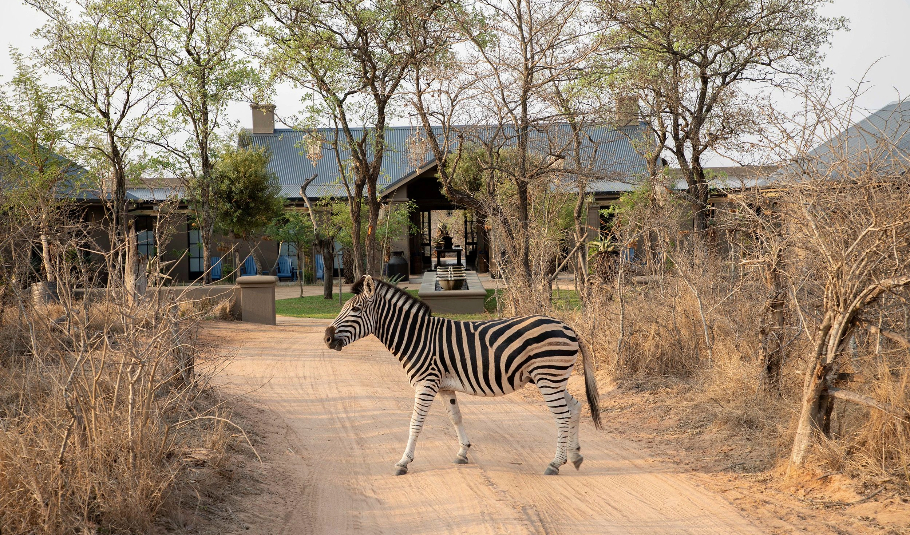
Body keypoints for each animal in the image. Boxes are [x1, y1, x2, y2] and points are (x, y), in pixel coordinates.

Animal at [324, 276, 604, 478]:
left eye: (356, 309)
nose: (326, 338)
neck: (417, 337)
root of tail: (569, 327)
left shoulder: (426, 383)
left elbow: (415, 423)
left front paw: (403, 462)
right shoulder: (444, 386)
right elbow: (455, 417)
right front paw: (463, 452)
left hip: (548, 377)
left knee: (563, 414)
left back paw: (555, 463)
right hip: (553, 378)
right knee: (575, 407)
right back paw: (575, 456)